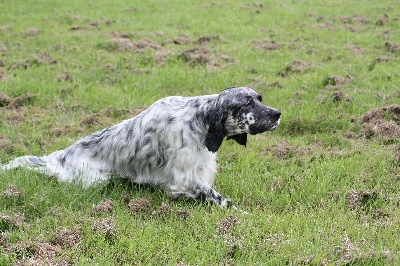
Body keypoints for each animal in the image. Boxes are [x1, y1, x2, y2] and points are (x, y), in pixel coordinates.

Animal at [0, 86, 282, 209]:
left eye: (259, 98)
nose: (278, 114)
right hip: (95, 179)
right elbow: (223, 200)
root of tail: (60, 156)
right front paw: (245, 217)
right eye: (246, 102)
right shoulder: (185, 179)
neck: (197, 119)